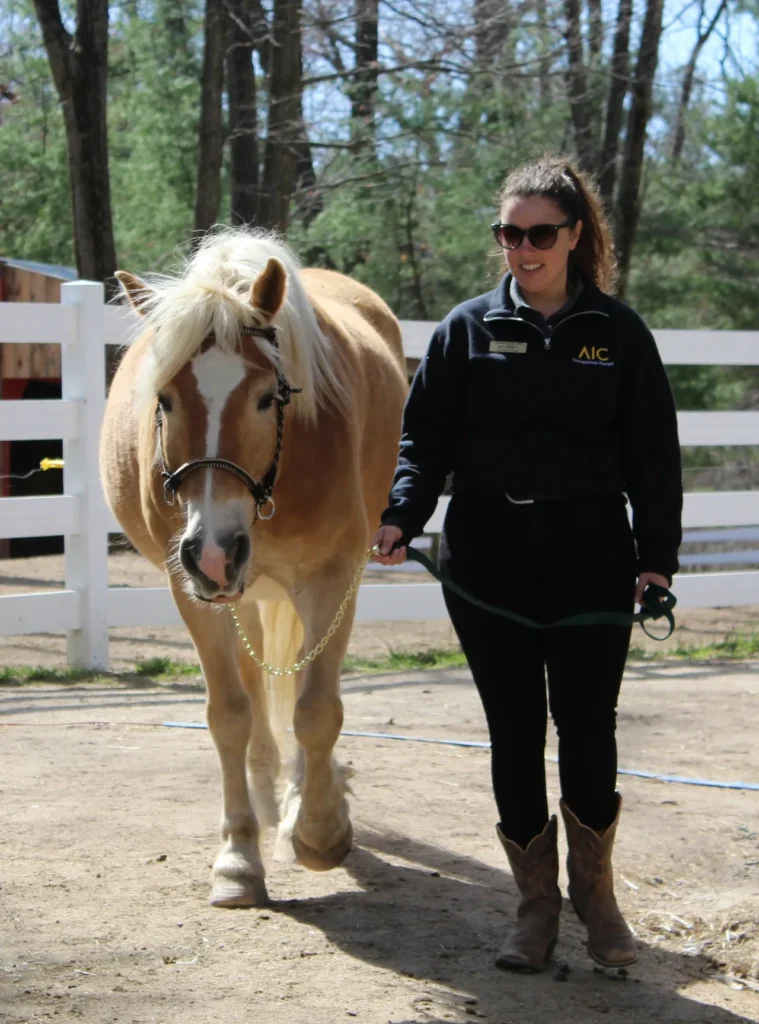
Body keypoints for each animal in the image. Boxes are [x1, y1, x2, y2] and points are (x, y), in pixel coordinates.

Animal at [101, 230, 407, 905]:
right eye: (164, 399)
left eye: (269, 397)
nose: (214, 551)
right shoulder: (193, 591)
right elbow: (230, 715)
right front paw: (239, 856)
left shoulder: (332, 580)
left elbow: (317, 710)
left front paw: (320, 830)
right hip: (241, 592)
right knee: (256, 692)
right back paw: (268, 800)